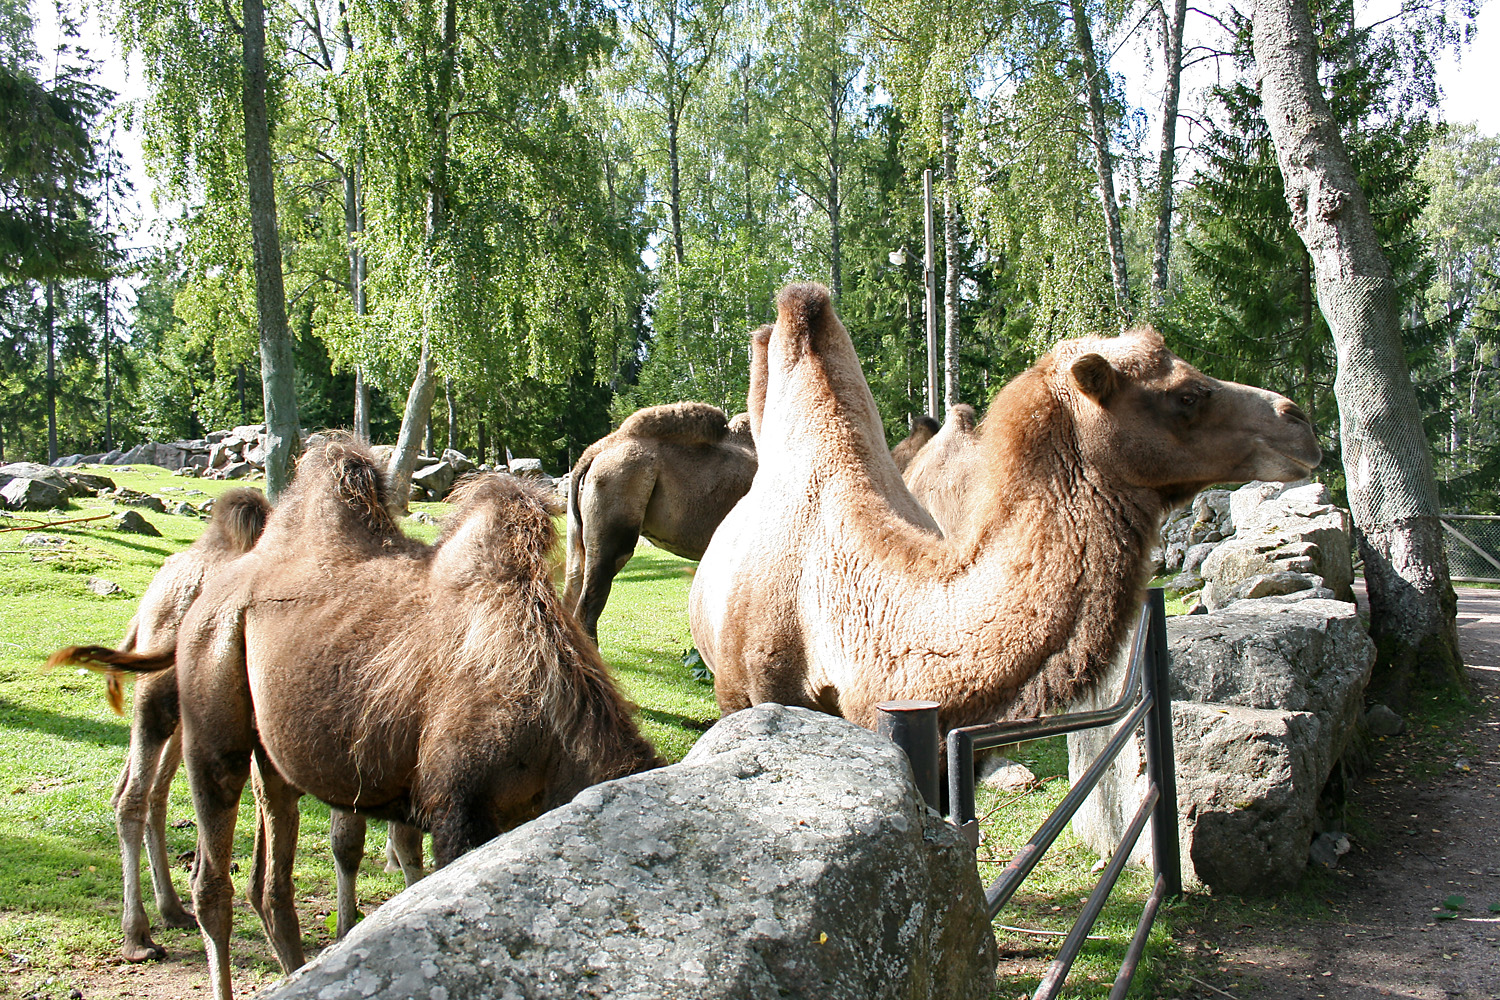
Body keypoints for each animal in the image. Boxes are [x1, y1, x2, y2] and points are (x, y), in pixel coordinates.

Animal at [48, 489, 424, 962]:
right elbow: (355, 840)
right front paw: (347, 928)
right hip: (160, 699)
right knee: (133, 797)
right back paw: (138, 936)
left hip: (191, 713)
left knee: (149, 792)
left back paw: (172, 910)